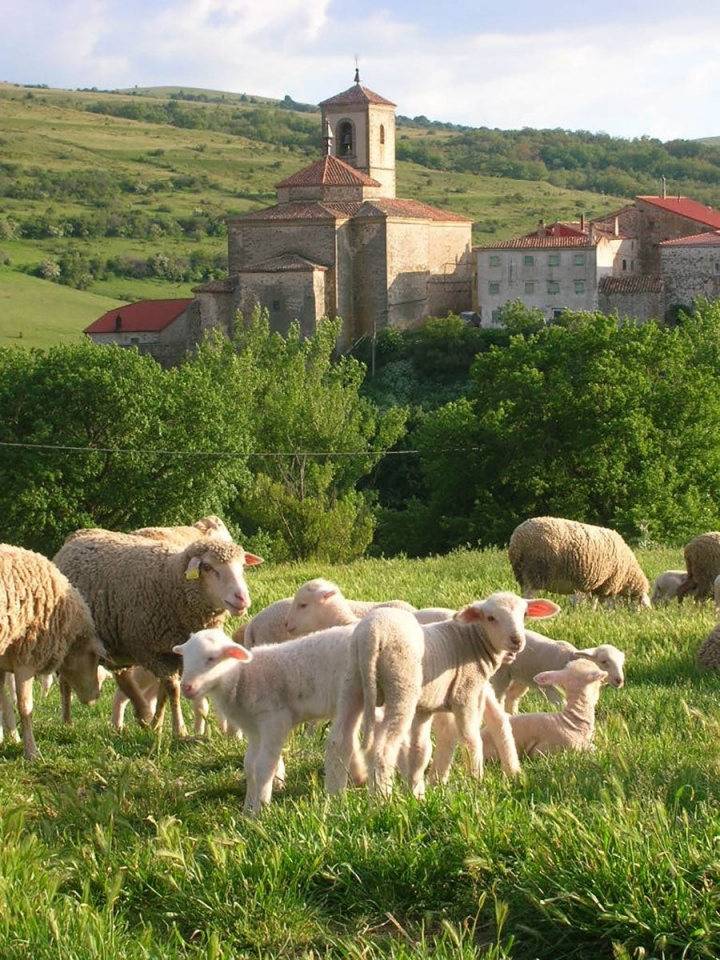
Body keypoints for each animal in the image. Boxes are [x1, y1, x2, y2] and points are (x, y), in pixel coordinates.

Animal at [53, 528, 262, 737]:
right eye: (208, 567)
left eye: (242, 566)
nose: (242, 598)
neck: (172, 583)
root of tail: (78, 535)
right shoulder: (150, 650)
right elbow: (173, 689)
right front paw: (179, 730)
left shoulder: (173, 653)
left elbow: (163, 691)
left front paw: (156, 725)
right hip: (72, 641)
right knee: (65, 682)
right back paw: (67, 721)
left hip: (119, 645)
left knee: (122, 676)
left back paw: (141, 714)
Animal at [173, 625, 366, 814]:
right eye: (185, 659)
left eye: (211, 658)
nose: (186, 687)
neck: (241, 677)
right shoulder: (253, 731)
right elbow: (249, 766)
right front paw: (247, 810)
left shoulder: (275, 721)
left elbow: (264, 767)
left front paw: (261, 809)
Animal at [324, 592, 560, 799]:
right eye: (491, 618)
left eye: (525, 614)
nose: (516, 641)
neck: (472, 641)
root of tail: (371, 634)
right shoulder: (466, 694)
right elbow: (471, 738)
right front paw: (476, 781)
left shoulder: (425, 707)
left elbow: (419, 749)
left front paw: (416, 793)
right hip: (401, 687)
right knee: (382, 748)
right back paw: (382, 801)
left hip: (352, 683)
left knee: (339, 740)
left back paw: (335, 798)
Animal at [490, 629, 626, 713]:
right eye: (604, 661)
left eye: (622, 663)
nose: (619, 680)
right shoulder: (551, 689)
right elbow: (562, 706)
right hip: (501, 674)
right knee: (499, 697)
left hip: (523, 675)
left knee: (512, 697)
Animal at [508, 516, 650, 608]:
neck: (628, 576)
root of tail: (517, 539)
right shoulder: (608, 585)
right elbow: (604, 604)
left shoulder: (597, 586)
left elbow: (593, 602)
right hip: (536, 571)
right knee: (528, 594)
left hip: (522, 572)